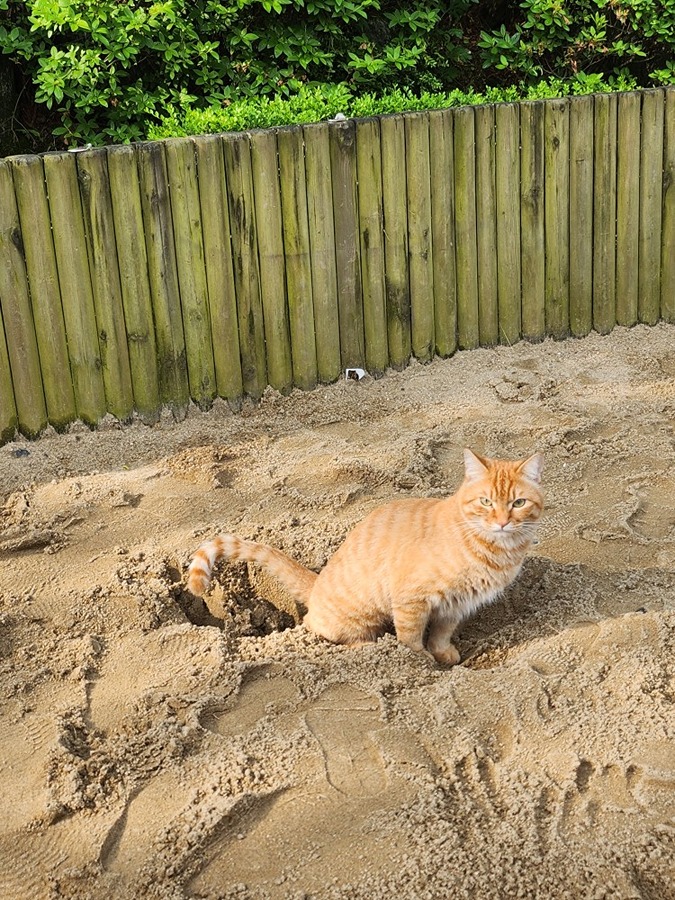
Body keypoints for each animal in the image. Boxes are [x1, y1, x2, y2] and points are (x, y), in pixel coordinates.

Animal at [186, 448, 544, 664]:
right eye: (485, 502)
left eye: (518, 503)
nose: (502, 521)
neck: (494, 551)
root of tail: (316, 583)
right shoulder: (412, 600)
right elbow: (411, 639)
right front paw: (419, 663)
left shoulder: (454, 605)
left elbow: (441, 635)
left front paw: (443, 654)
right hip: (359, 617)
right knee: (324, 632)